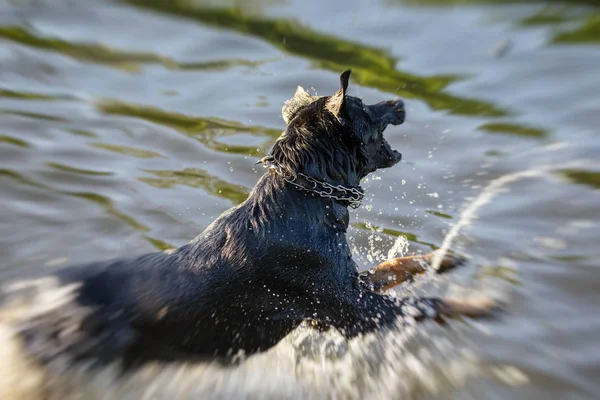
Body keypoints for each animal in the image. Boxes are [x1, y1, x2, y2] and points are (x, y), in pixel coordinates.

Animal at [0, 70, 494, 398]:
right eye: (368, 107)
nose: (398, 102)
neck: (303, 197)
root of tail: (42, 307)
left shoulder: (345, 289)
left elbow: (399, 264)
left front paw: (445, 259)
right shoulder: (349, 310)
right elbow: (427, 306)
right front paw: (482, 303)